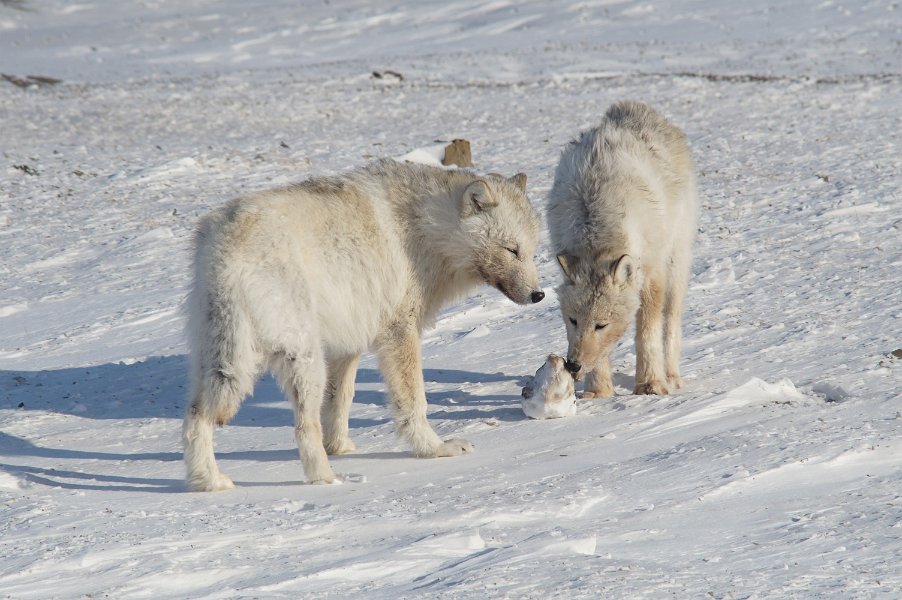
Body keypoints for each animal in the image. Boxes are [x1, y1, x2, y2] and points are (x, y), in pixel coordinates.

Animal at [184, 157, 544, 490]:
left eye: (530, 252)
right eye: (511, 250)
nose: (538, 295)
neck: (425, 227)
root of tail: (225, 251)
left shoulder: (348, 345)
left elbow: (341, 400)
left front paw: (340, 447)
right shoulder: (400, 333)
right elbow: (413, 402)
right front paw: (435, 449)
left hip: (223, 363)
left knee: (194, 416)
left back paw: (209, 482)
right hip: (300, 362)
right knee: (303, 428)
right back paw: (328, 480)